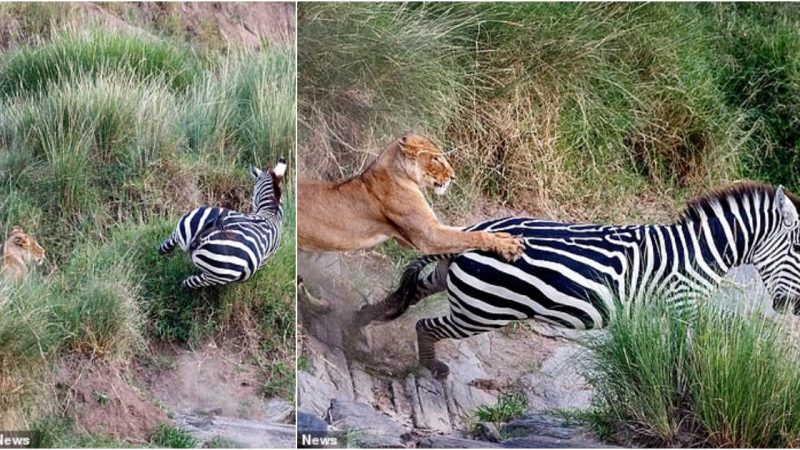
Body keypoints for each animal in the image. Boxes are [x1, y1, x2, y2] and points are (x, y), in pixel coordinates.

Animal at [158, 158, 286, 290]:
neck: (272, 211)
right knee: (190, 282)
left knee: (170, 240)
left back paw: (161, 254)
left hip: (189, 220)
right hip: (221, 272)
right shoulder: (266, 259)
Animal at [360, 183, 800, 380]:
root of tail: (475, 230)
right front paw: (682, 384)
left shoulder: (664, 311)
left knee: (410, 293)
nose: (791, 308)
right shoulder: (683, 305)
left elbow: (662, 352)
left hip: (457, 285)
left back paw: (354, 326)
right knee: (424, 323)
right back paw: (430, 369)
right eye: (799, 249)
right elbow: (687, 350)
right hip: (484, 309)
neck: (700, 251)